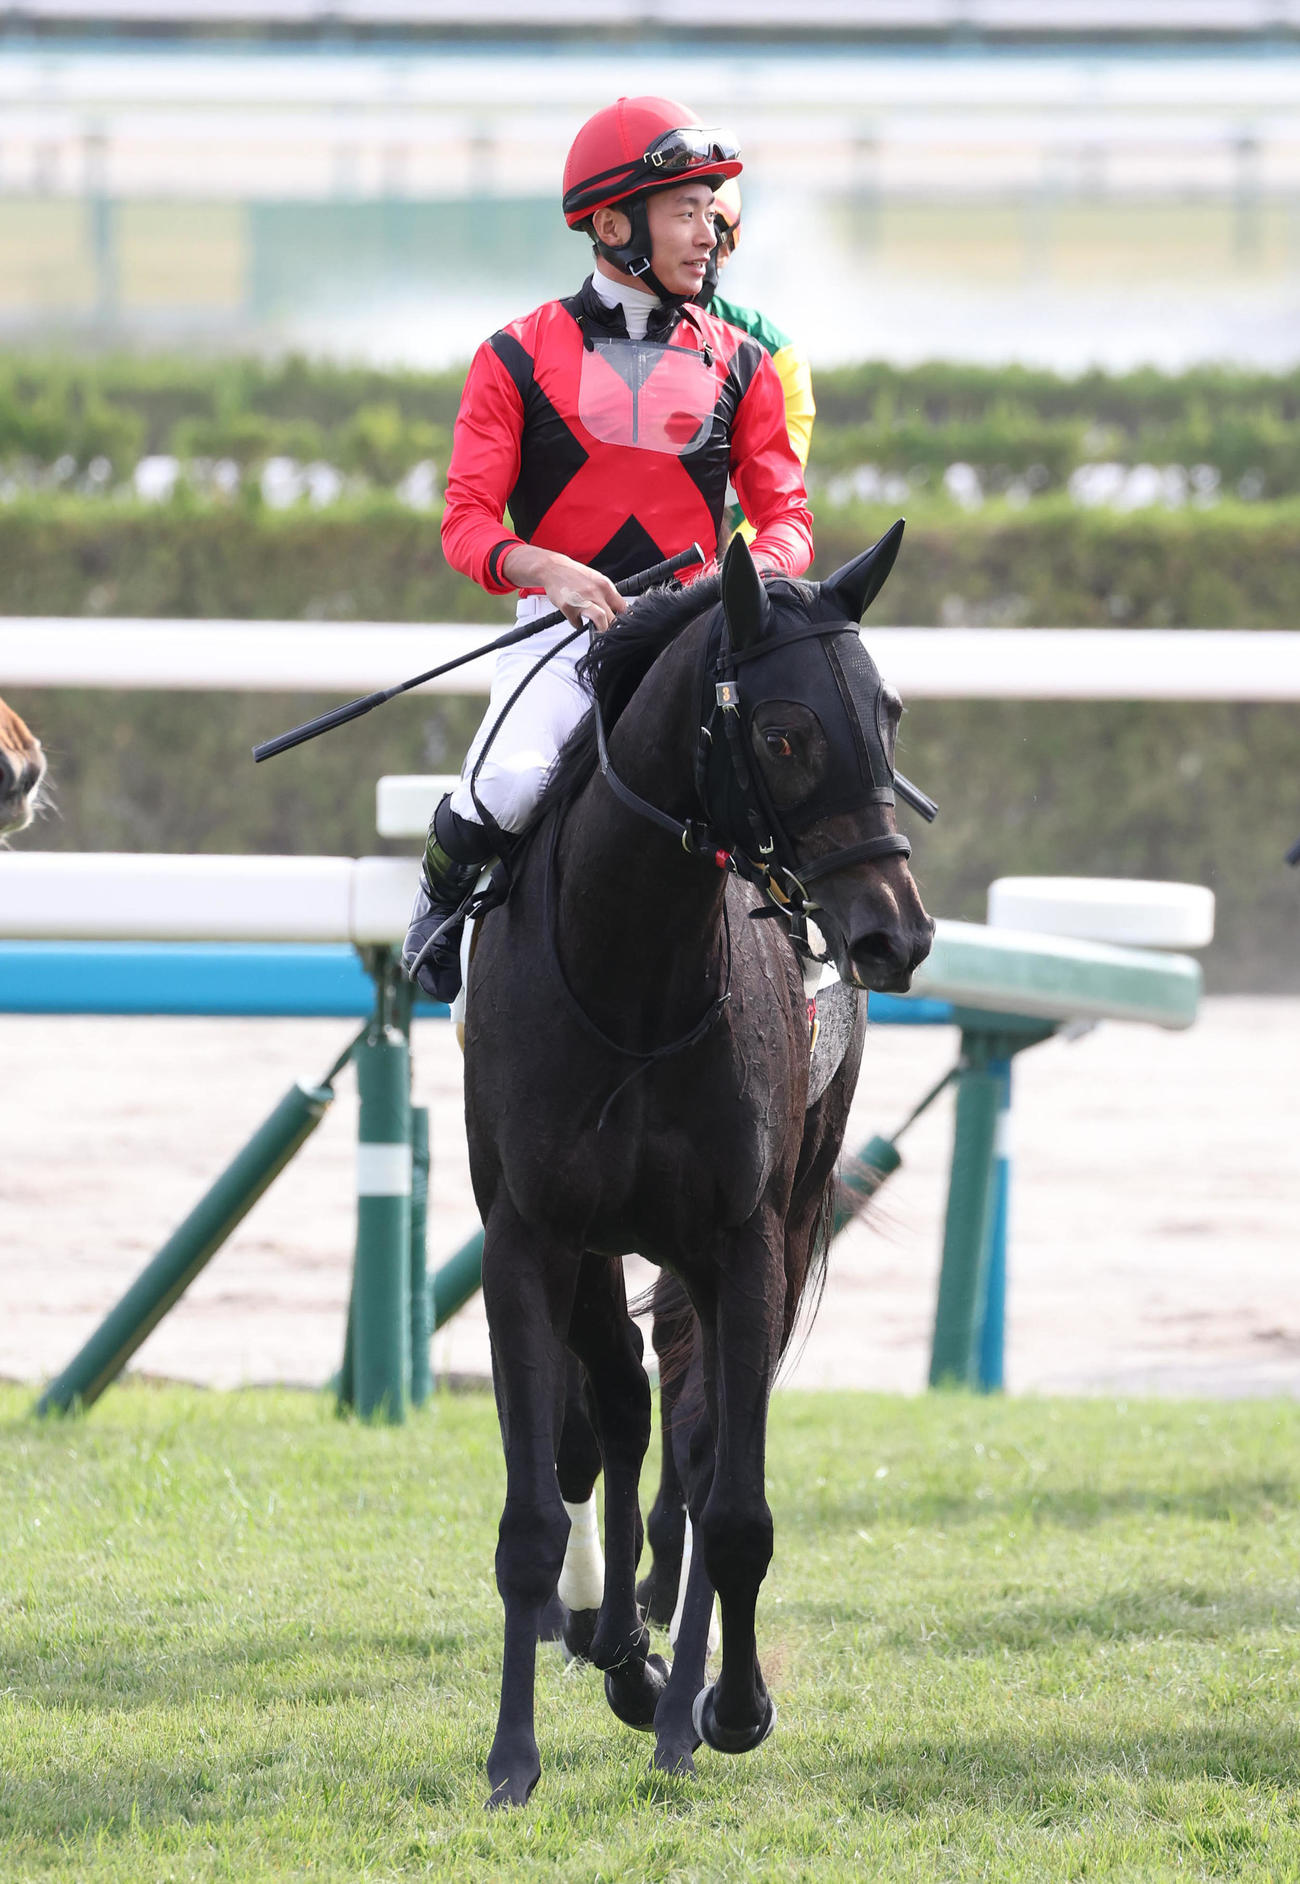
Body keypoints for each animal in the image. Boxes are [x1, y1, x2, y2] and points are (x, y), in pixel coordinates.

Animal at [462, 526, 934, 1806]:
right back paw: (621, 1649)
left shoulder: (742, 1236)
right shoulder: (531, 1235)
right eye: (782, 733)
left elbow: (733, 1505)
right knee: (625, 1413)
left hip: (782, 1219)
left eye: (889, 712)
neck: (632, 973)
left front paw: (726, 1709)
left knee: (694, 1431)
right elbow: (536, 1510)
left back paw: (671, 1694)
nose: (896, 933)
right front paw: (515, 1753)